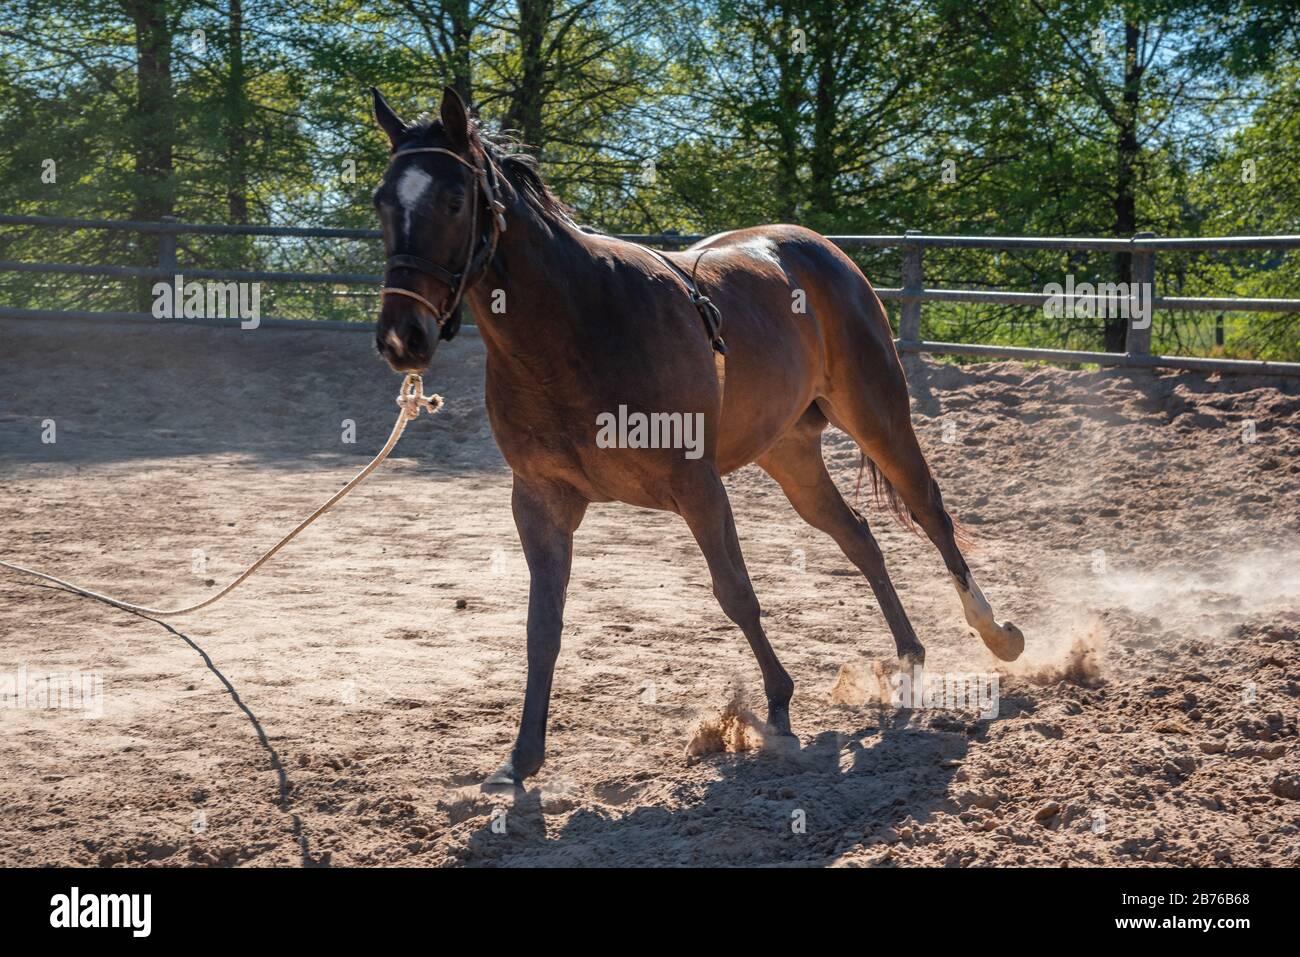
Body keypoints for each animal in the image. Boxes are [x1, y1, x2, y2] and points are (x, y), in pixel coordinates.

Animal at [370, 86, 1025, 786]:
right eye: (383, 200)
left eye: (453, 201)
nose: (402, 338)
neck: (579, 325)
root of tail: (824, 251)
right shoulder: (540, 500)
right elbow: (542, 625)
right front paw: (521, 758)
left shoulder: (697, 483)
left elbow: (735, 593)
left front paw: (777, 708)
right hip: (790, 455)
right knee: (859, 537)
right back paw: (908, 658)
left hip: (879, 418)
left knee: (931, 514)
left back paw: (996, 634)